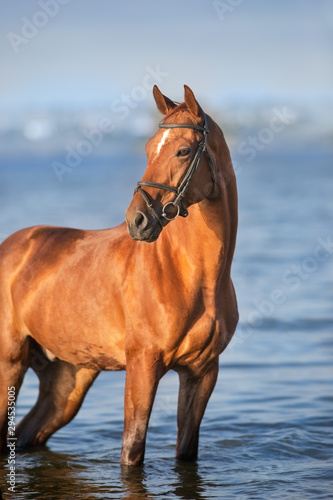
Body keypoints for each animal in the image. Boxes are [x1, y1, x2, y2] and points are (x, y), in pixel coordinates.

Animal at [0, 85, 236, 464]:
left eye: (183, 150)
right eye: (148, 148)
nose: (137, 220)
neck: (195, 279)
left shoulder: (202, 374)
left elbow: (185, 452)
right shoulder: (142, 368)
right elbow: (132, 449)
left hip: (67, 379)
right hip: (10, 363)